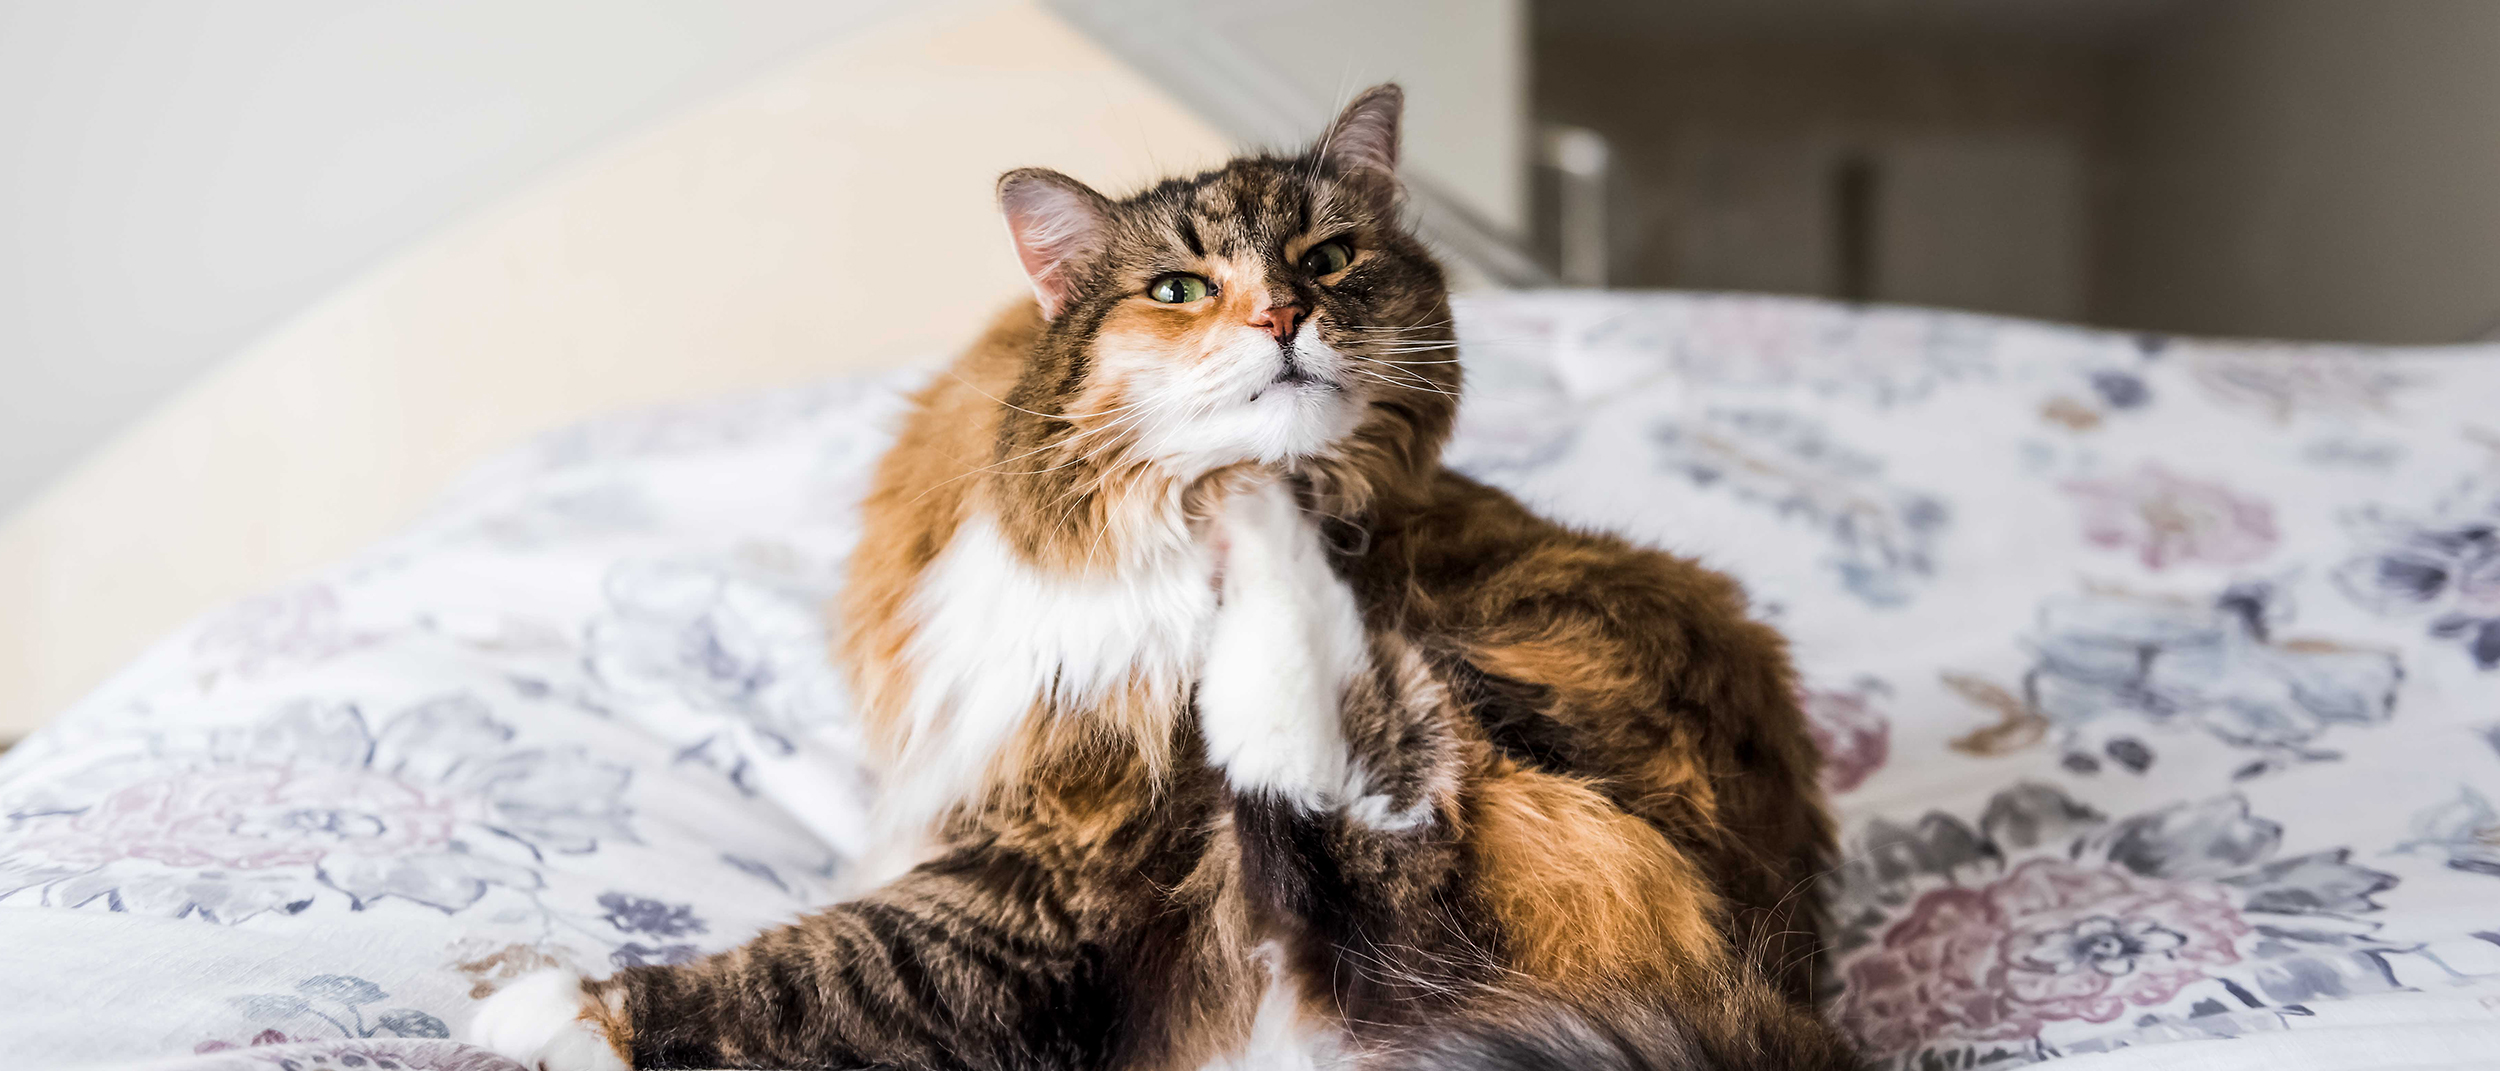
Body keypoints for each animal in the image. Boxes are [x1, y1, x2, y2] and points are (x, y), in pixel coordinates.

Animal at [472, 85, 1860, 1071]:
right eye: (1181, 287)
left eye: (1328, 258)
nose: (1283, 321)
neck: (1143, 531)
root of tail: (1772, 988)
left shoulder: (1061, 869)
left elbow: (833, 968)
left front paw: (545, 1010)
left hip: (1517, 738)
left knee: (1368, 803)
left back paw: (1266, 536)